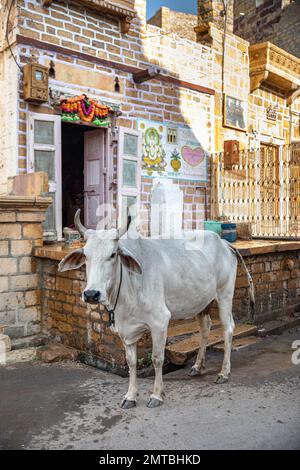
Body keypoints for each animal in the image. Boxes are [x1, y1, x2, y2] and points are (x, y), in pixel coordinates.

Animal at [58, 211, 253, 410]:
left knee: (228, 328)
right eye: (86, 256)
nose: (91, 294)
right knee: (205, 328)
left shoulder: (160, 322)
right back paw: (198, 366)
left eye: (112, 255)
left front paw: (157, 395)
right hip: (201, 301)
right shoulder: (126, 331)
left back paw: (224, 372)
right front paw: (130, 396)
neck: (128, 285)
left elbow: (157, 359)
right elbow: (131, 363)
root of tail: (224, 243)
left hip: (224, 294)